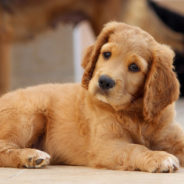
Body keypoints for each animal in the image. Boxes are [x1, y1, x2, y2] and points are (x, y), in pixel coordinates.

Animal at [0, 21, 183, 172]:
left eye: (134, 67)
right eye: (106, 54)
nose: (105, 81)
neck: (135, 113)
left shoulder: (171, 134)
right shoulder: (106, 145)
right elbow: (135, 148)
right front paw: (159, 157)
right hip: (28, 116)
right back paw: (30, 156)